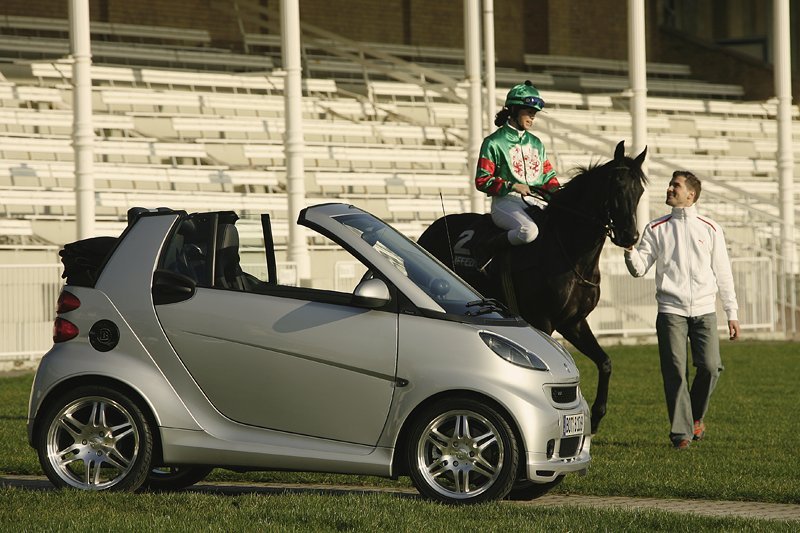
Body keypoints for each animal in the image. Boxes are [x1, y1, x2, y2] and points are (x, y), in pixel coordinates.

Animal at [416, 139, 648, 430]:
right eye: (617, 185)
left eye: (640, 190)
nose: (630, 236)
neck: (569, 251)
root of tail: (431, 229)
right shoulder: (542, 321)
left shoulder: (573, 322)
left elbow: (605, 362)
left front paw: (595, 418)